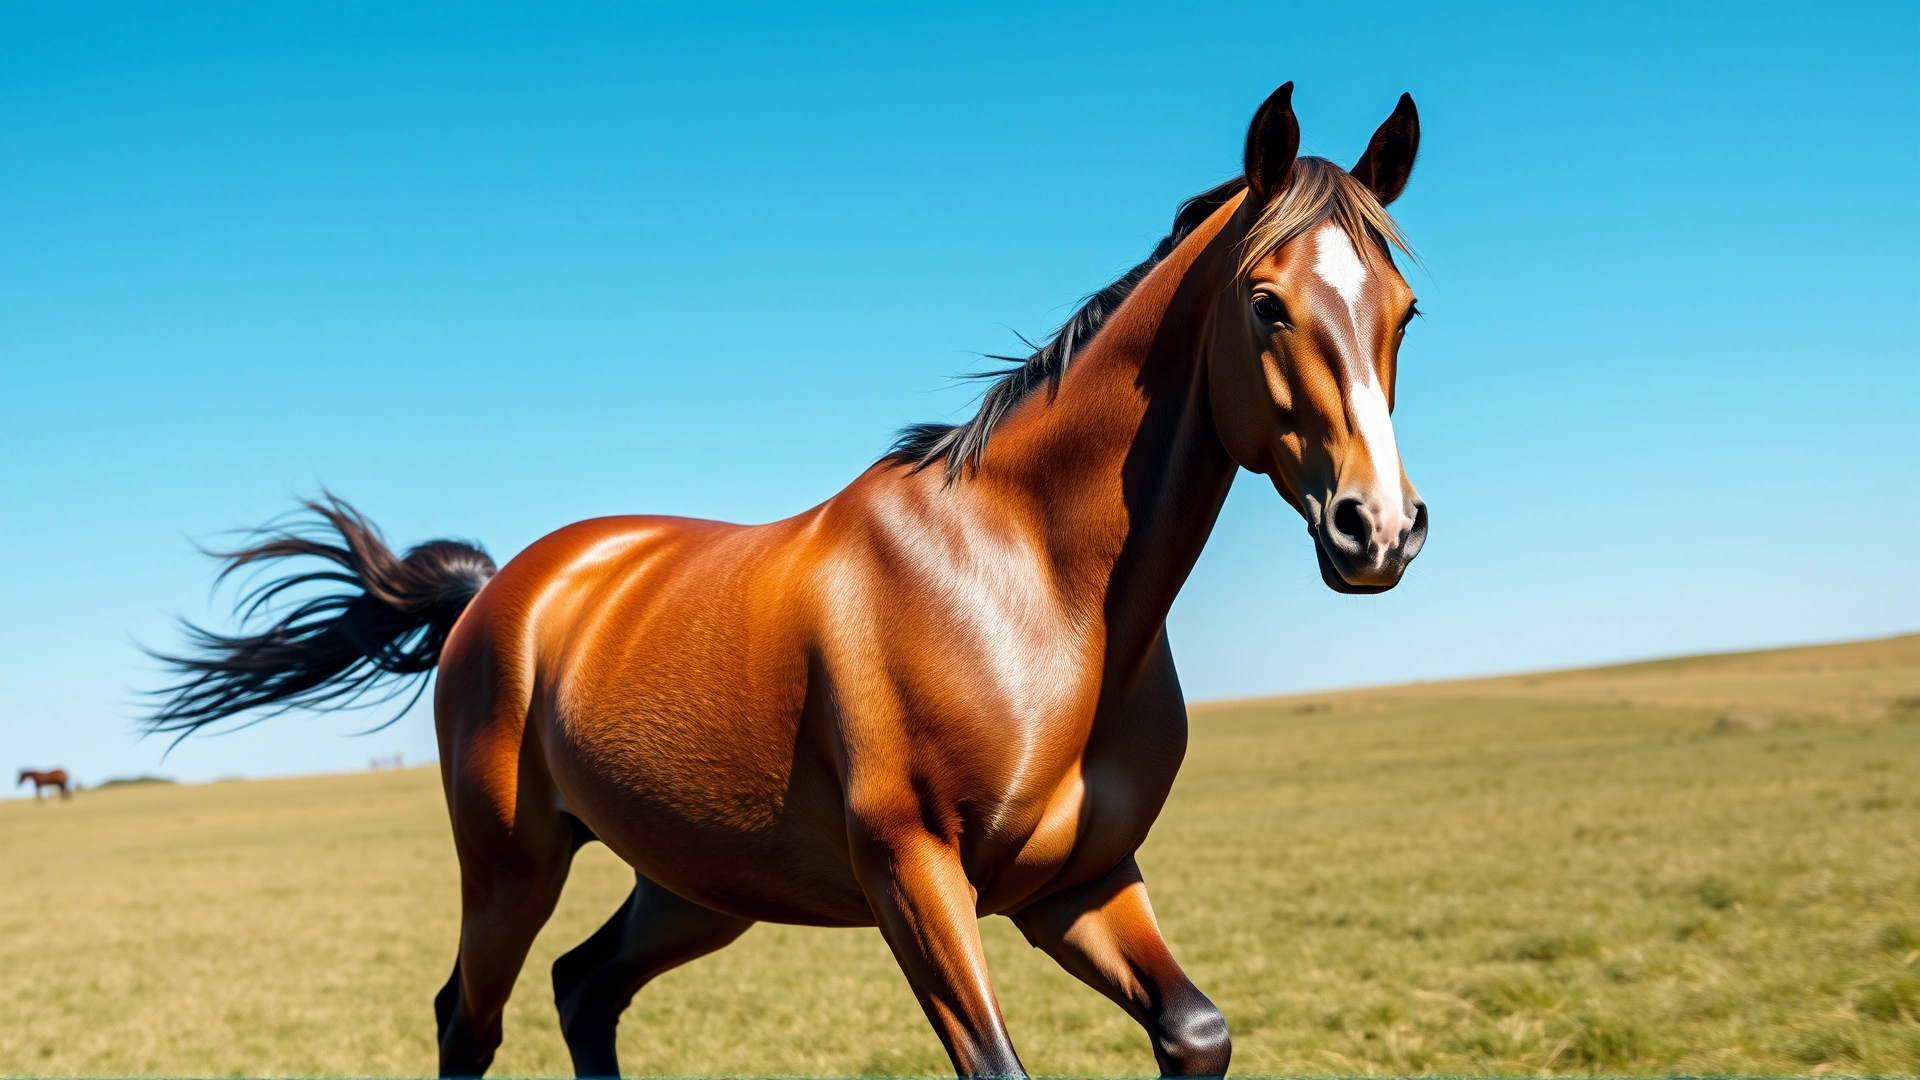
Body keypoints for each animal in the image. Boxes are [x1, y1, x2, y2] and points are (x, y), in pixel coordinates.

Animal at [147, 81, 1428, 1078]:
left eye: (1406, 312)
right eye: (1265, 304)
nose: (1379, 531)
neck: (1034, 586)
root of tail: (504, 591)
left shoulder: (1080, 881)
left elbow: (1196, 1033)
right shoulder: (916, 877)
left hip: (692, 885)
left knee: (582, 989)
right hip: (512, 865)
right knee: (471, 1020)